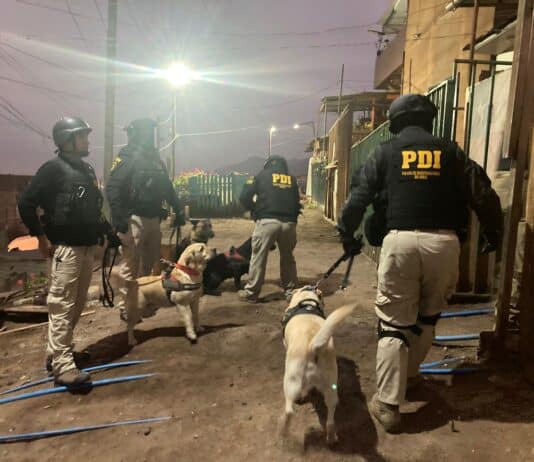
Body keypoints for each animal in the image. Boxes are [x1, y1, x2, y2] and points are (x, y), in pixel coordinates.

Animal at [280, 286, 355, 445]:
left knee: (289, 411)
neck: (306, 301)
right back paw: (331, 438)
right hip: (331, 386)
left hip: (291, 380)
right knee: (331, 416)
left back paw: (283, 430)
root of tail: (313, 347)